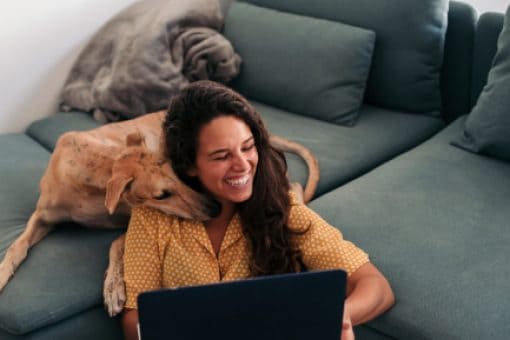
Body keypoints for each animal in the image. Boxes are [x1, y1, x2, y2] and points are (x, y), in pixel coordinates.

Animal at [0, 109, 318, 316]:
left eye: (182, 175)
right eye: (162, 194)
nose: (215, 209)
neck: (94, 168)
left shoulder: (131, 217)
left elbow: (115, 242)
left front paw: (113, 287)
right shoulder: (41, 216)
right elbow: (17, 246)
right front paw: (3, 272)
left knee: (294, 187)